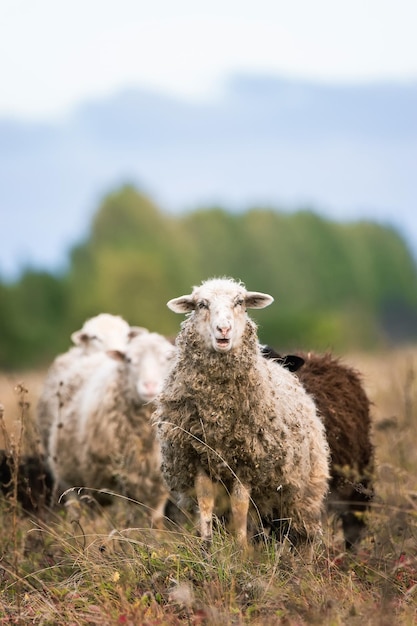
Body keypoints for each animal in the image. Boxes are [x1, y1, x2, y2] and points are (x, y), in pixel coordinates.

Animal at [48, 330, 176, 524]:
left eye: (168, 358)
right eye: (129, 360)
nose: (150, 386)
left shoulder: (158, 482)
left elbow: (154, 518)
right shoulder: (103, 479)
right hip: (69, 479)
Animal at [151, 276, 330, 548]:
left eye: (240, 302)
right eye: (202, 304)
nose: (223, 329)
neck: (218, 413)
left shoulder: (246, 463)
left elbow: (240, 507)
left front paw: (240, 547)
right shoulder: (199, 459)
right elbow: (206, 505)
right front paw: (207, 545)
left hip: (304, 489)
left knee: (304, 530)